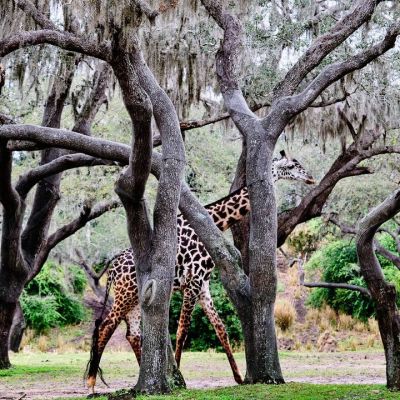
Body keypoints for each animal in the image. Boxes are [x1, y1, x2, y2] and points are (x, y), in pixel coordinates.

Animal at [85, 150, 316, 390]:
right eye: (292, 165)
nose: (310, 178)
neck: (214, 222)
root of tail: (112, 268)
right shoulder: (193, 280)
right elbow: (182, 330)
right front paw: (180, 379)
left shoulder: (203, 284)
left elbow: (220, 328)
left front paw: (238, 378)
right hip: (125, 294)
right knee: (105, 327)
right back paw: (91, 383)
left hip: (135, 298)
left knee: (132, 333)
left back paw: (142, 376)